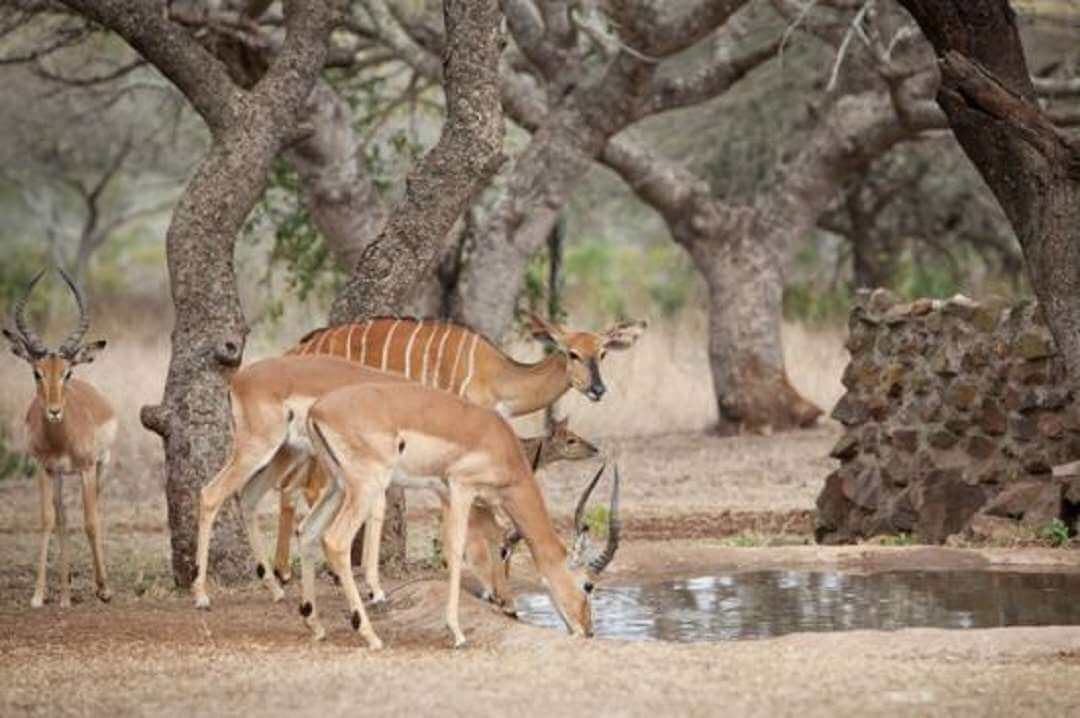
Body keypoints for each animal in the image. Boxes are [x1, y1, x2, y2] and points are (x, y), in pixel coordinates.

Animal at [3, 272, 115, 608]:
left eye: (67, 373)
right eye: (36, 373)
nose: (54, 411)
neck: (61, 439)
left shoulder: (87, 468)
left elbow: (90, 521)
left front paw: (104, 590)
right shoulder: (44, 468)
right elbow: (47, 521)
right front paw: (38, 595)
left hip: (100, 467)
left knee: (95, 513)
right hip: (60, 476)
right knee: (63, 518)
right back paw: (65, 595)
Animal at [304, 380, 626, 647]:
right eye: (588, 585)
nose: (588, 631)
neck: (503, 445)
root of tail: (317, 409)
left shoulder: (450, 496)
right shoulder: (461, 488)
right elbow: (457, 548)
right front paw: (457, 633)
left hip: (337, 486)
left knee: (307, 532)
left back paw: (316, 626)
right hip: (367, 486)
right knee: (335, 540)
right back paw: (371, 635)